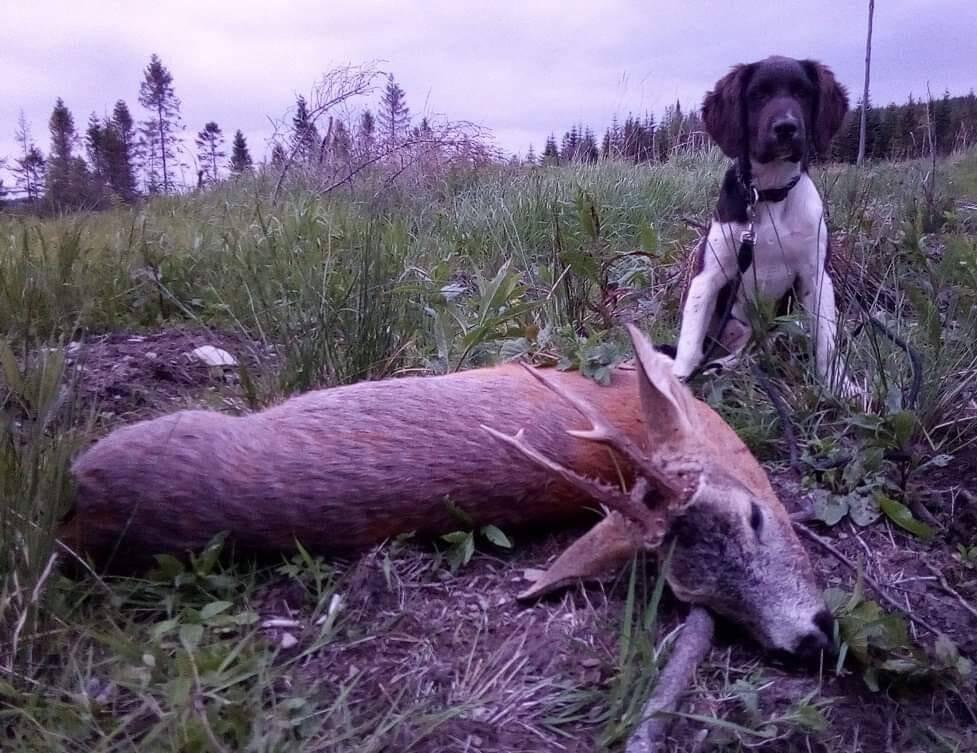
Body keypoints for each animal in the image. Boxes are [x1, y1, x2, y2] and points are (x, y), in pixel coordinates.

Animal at [672, 57, 848, 388]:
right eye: (758, 96)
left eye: (803, 94)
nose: (786, 127)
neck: (769, 194)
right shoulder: (709, 275)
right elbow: (689, 343)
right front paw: (674, 382)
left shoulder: (816, 275)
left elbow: (827, 340)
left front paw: (840, 385)